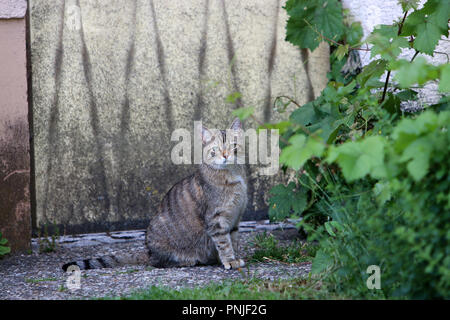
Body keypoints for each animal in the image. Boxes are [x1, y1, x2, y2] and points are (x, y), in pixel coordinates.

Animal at [62, 117, 248, 270]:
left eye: (233, 146)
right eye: (215, 149)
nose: (225, 155)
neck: (232, 175)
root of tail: (149, 251)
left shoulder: (236, 217)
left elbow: (233, 239)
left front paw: (233, 258)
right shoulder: (216, 219)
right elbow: (224, 243)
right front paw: (229, 260)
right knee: (157, 262)